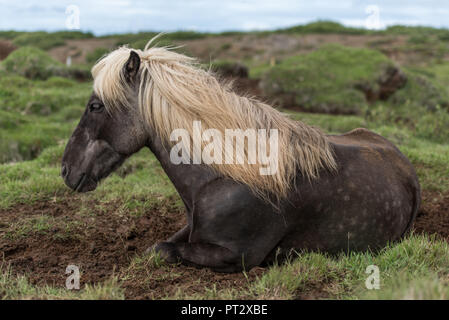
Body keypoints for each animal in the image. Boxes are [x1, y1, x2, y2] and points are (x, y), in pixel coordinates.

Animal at [61, 38, 422, 272]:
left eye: (95, 106)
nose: (65, 170)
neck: (223, 174)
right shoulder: (191, 229)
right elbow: (158, 246)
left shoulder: (237, 255)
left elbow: (164, 251)